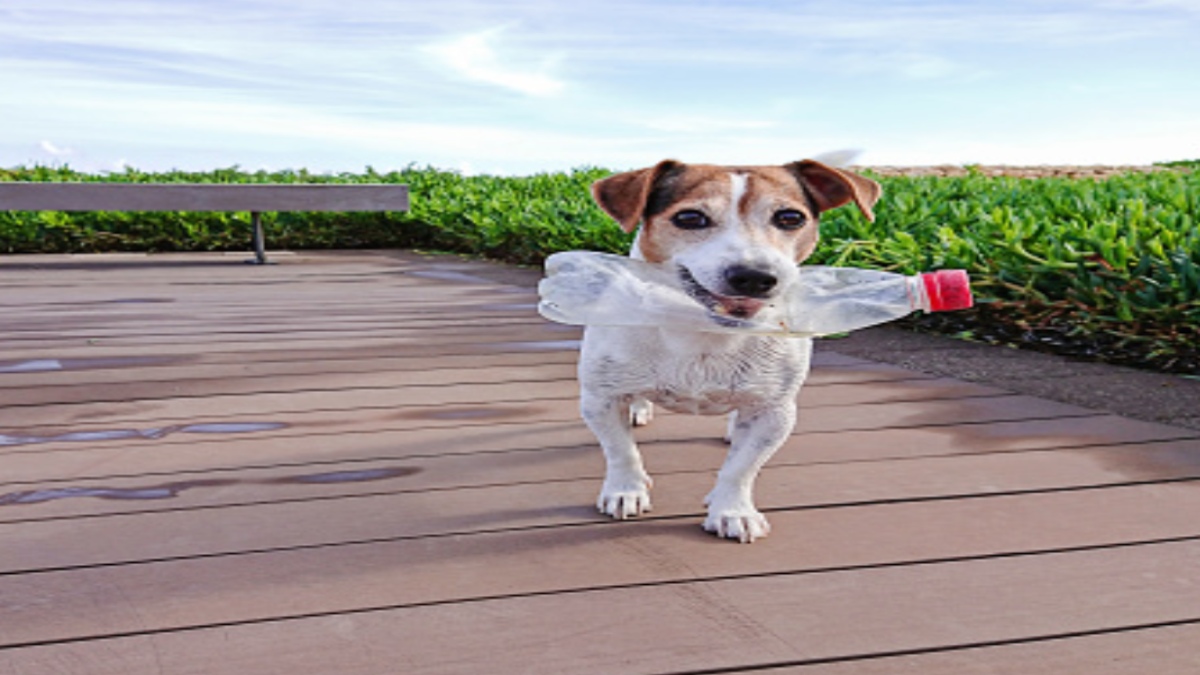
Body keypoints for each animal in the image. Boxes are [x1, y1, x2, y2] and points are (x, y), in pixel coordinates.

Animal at [576, 158, 878, 540]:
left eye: (790, 218)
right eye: (690, 218)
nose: (754, 276)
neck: (701, 328)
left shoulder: (775, 413)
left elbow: (742, 467)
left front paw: (733, 510)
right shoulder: (600, 400)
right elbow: (621, 451)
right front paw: (625, 490)